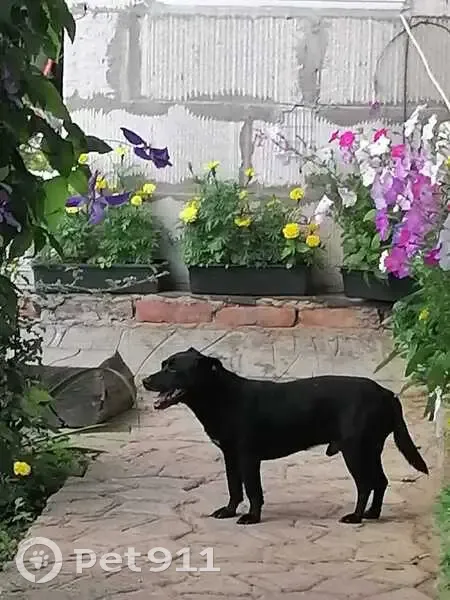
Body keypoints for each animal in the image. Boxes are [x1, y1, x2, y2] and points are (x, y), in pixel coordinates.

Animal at [143, 347, 428, 525]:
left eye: (173, 369)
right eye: (163, 365)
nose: (145, 381)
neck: (222, 397)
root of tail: (387, 394)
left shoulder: (248, 457)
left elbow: (253, 490)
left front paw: (251, 517)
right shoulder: (230, 456)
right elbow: (234, 488)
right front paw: (229, 511)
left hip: (355, 451)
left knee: (366, 484)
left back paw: (355, 516)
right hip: (370, 449)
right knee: (380, 481)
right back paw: (372, 514)